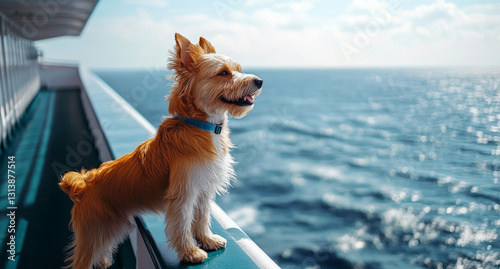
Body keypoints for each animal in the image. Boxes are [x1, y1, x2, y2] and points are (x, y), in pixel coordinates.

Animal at [59, 33, 264, 268]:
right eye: (223, 73)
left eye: (238, 69)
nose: (260, 81)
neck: (201, 126)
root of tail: (82, 184)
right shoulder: (183, 194)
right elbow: (182, 224)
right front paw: (190, 253)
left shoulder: (203, 190)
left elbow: (202, 218)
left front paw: (207, 240)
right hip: (93, 232)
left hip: (112, 228)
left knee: (101, 253)